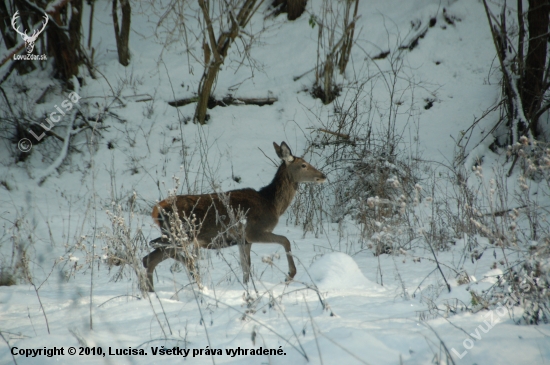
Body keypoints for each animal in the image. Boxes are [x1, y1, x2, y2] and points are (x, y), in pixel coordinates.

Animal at [142, 141, 328, 292]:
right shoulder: (254, 231)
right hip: (180, 233)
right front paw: (289, 274)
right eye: (304, 165)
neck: (272, 204)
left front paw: (247, 287)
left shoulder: (244, 240)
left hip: (174, 235)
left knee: (149, 256)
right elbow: (285, 240)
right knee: (154, 252)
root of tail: (157, 210)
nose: (323, 176)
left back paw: (153, 291)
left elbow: (246, 267)